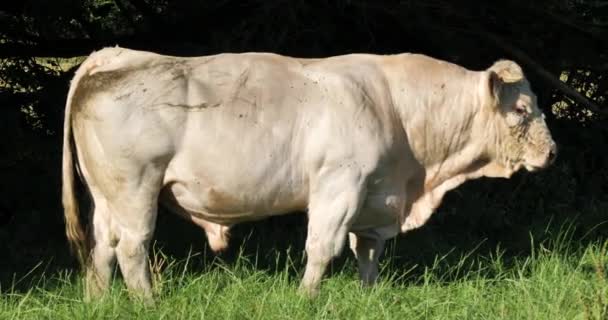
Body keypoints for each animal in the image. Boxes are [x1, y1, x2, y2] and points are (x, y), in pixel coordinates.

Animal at [61, 47, 556, 300]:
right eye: (522, 109)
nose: (551, 152)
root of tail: (113, 55)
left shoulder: (376, 197)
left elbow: (367, 251)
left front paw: (368, 297)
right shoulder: (339, 185)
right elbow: (322, 248)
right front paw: (306, 299)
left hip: (108, 195)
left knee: (103, 250)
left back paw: (99, 302)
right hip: (136, 188)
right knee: (132, 248)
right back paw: (148, 303)